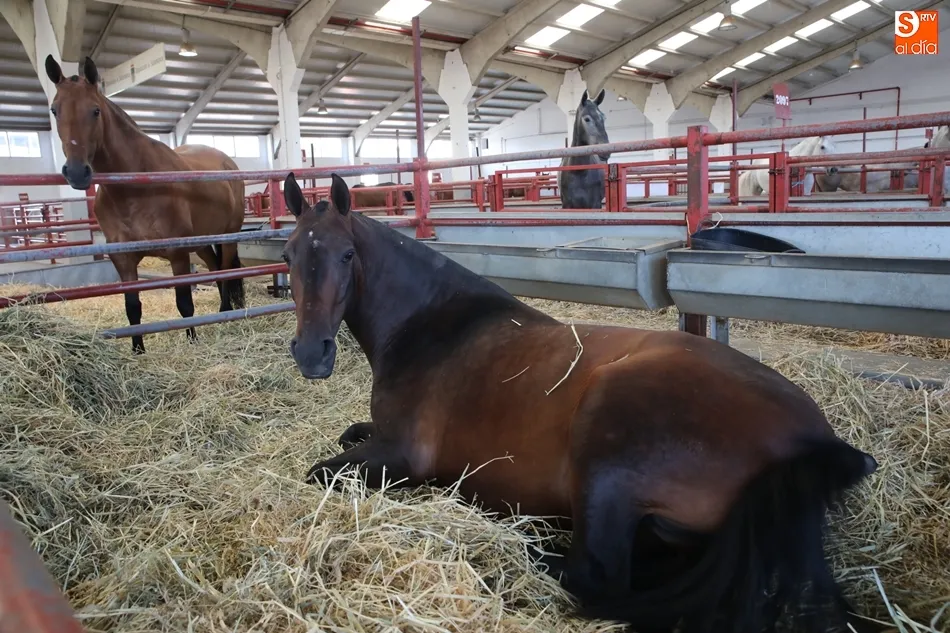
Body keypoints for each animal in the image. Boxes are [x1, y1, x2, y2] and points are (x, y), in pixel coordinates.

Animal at [45, 56, 246, 354]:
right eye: (54, 110)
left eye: (95, 111)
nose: (77, 172)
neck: (134, 186)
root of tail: (227, 163)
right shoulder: (123, 258)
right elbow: (133, 307)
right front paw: (137, 350)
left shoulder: (177, 253)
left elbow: (185, 304)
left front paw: (192, 339)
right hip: (201, 242)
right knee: (214, 267)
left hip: (227, 236)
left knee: (225, 270)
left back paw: (225, 313)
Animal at [279, 171, 879, 633]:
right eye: (287, 254)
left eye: (347, 254)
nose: (311, 354)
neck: (432, 326)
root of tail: (816, 445)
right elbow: (348, 434)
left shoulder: (401, 456)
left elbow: (319, 470)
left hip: (605, 457)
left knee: (592, 574)